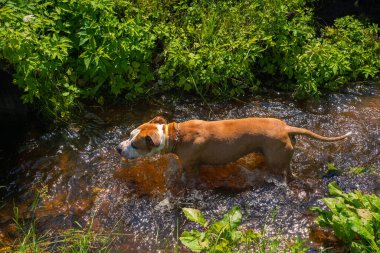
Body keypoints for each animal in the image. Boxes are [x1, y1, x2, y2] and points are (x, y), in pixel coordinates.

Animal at [116, 115, 350, 183]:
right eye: (130, 134)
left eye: (135, 145)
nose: (118, 148)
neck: (175, 136)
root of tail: (286, 127)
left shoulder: (190, 167)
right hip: (282, 156)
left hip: (275, 159)